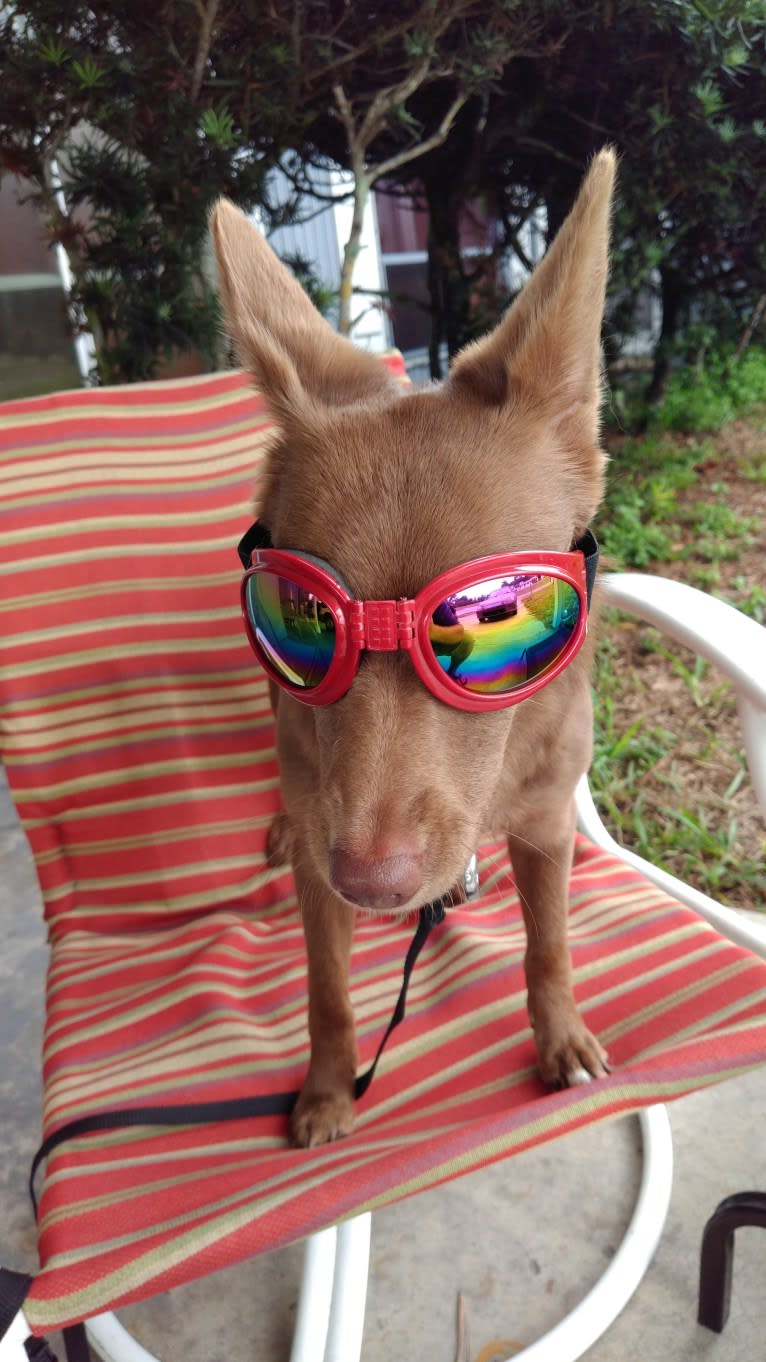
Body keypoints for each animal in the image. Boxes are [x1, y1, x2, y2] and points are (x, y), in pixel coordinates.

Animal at [209, 149, 613, 1149]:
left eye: (494, 615)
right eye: (311, 617)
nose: (372, 881)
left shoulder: (547, 827)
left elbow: (550, 947)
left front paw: (561, 1037)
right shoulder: (323, 877)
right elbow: (326, 993)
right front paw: (325, 1089)